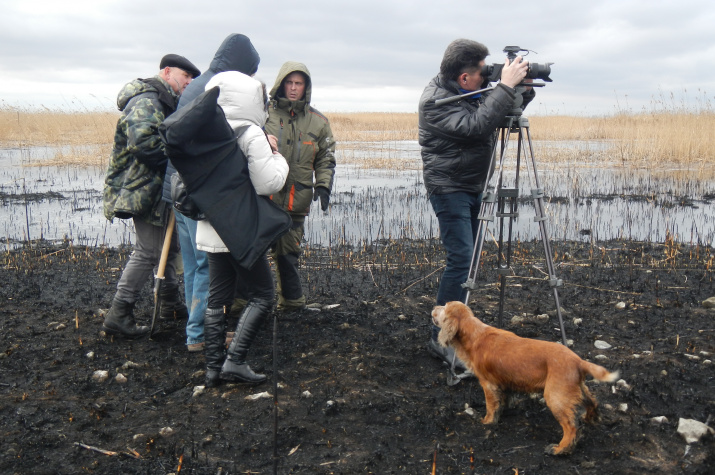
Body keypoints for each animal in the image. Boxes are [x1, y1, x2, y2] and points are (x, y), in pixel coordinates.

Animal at [434, 304, 620, 456]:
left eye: (444, 307)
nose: (434, 308)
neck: (475, 333)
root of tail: (578, 361)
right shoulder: (503, 381)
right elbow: (504, 399)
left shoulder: (488, 384)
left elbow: (491, 406)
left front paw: (487, 422)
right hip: (576, 388)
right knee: (592, 402)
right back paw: (591, 419)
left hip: (555, 397)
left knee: (571, 427)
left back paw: (560, 449)